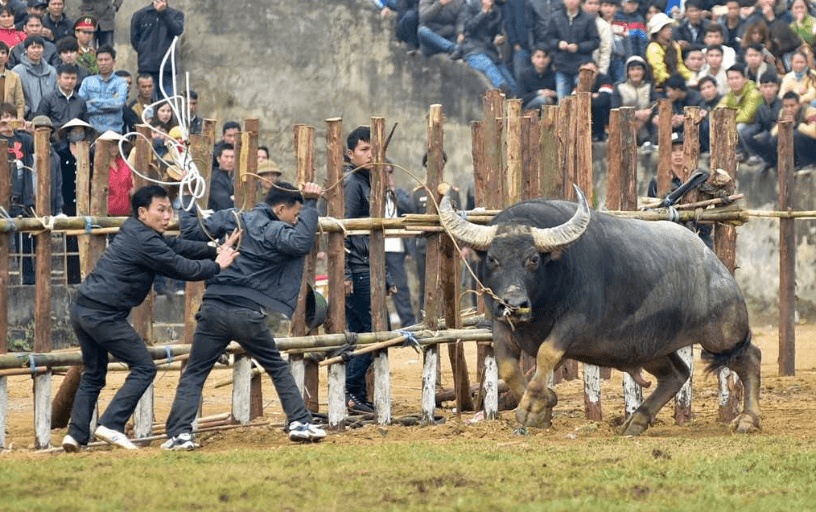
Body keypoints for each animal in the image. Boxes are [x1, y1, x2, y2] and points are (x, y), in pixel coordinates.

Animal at [436, 186, 760, 434]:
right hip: (649, 347)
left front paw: (533, 406)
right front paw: (545, 405)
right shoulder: (502, 326)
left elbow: (546, 354)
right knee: (676, 374)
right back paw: (636, 421)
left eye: (533, 259)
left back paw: (748, 419)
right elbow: (507, 367)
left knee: (749, 358)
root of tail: (716, 265)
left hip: (723, 333)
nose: (515, 304)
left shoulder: (574, 324)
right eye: (492, 259)